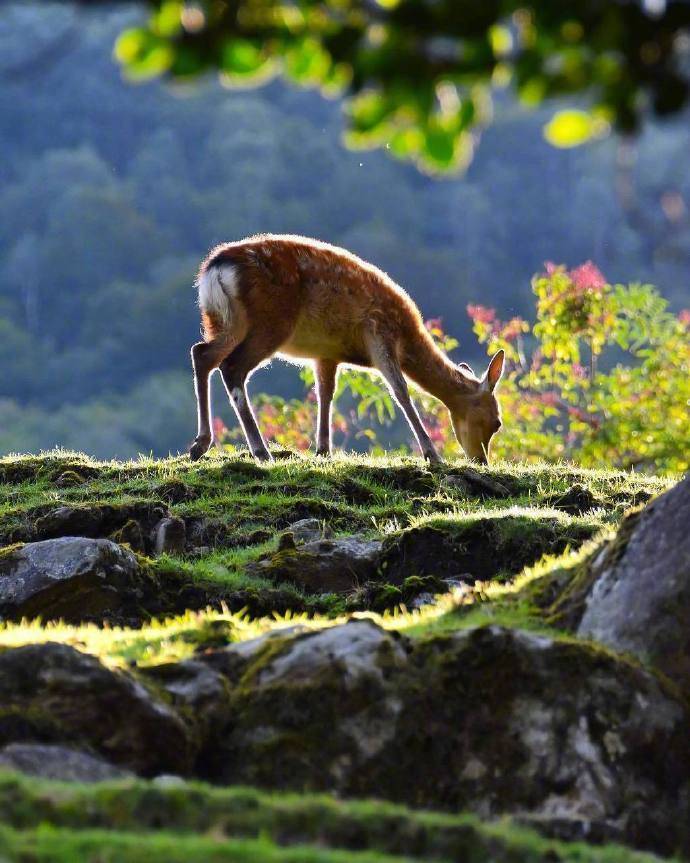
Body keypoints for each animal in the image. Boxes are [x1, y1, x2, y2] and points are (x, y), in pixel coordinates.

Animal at [191, 233, 502, 466]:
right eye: (497, 422)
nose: (481, 460)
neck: (408, 339)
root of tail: (214, 270)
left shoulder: (327, 353)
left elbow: (325, 394)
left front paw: (323, 450)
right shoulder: (379, 332)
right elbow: (400, 391)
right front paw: (432, 455)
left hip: (223, 321)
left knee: (201, 353)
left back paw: (200, 444)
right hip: (271, 321)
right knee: (232, 366)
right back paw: (260, 451)